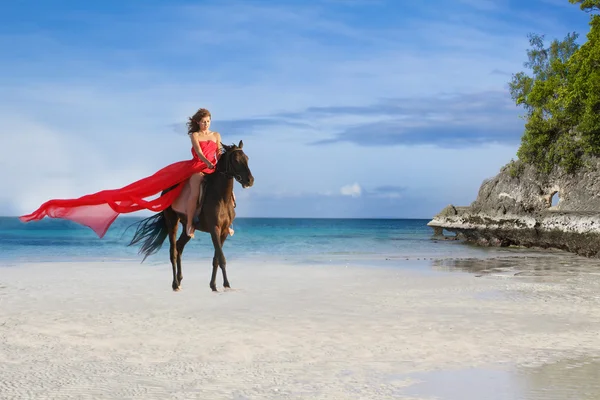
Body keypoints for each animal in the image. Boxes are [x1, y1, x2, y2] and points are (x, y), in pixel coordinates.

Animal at [128, 141, 253, 290]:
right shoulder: (214, 229)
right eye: (236, 160)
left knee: (179, 247)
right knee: (173, 251)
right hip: (172, 222)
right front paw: (226, 285)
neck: (221, 196)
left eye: (247, 158)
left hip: (188, 227)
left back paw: (180, 279)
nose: (250, 180)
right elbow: (221, 258)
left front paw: (214, 285)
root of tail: (166, 191)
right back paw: (175, 284)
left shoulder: (223, 231)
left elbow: (217, 258)